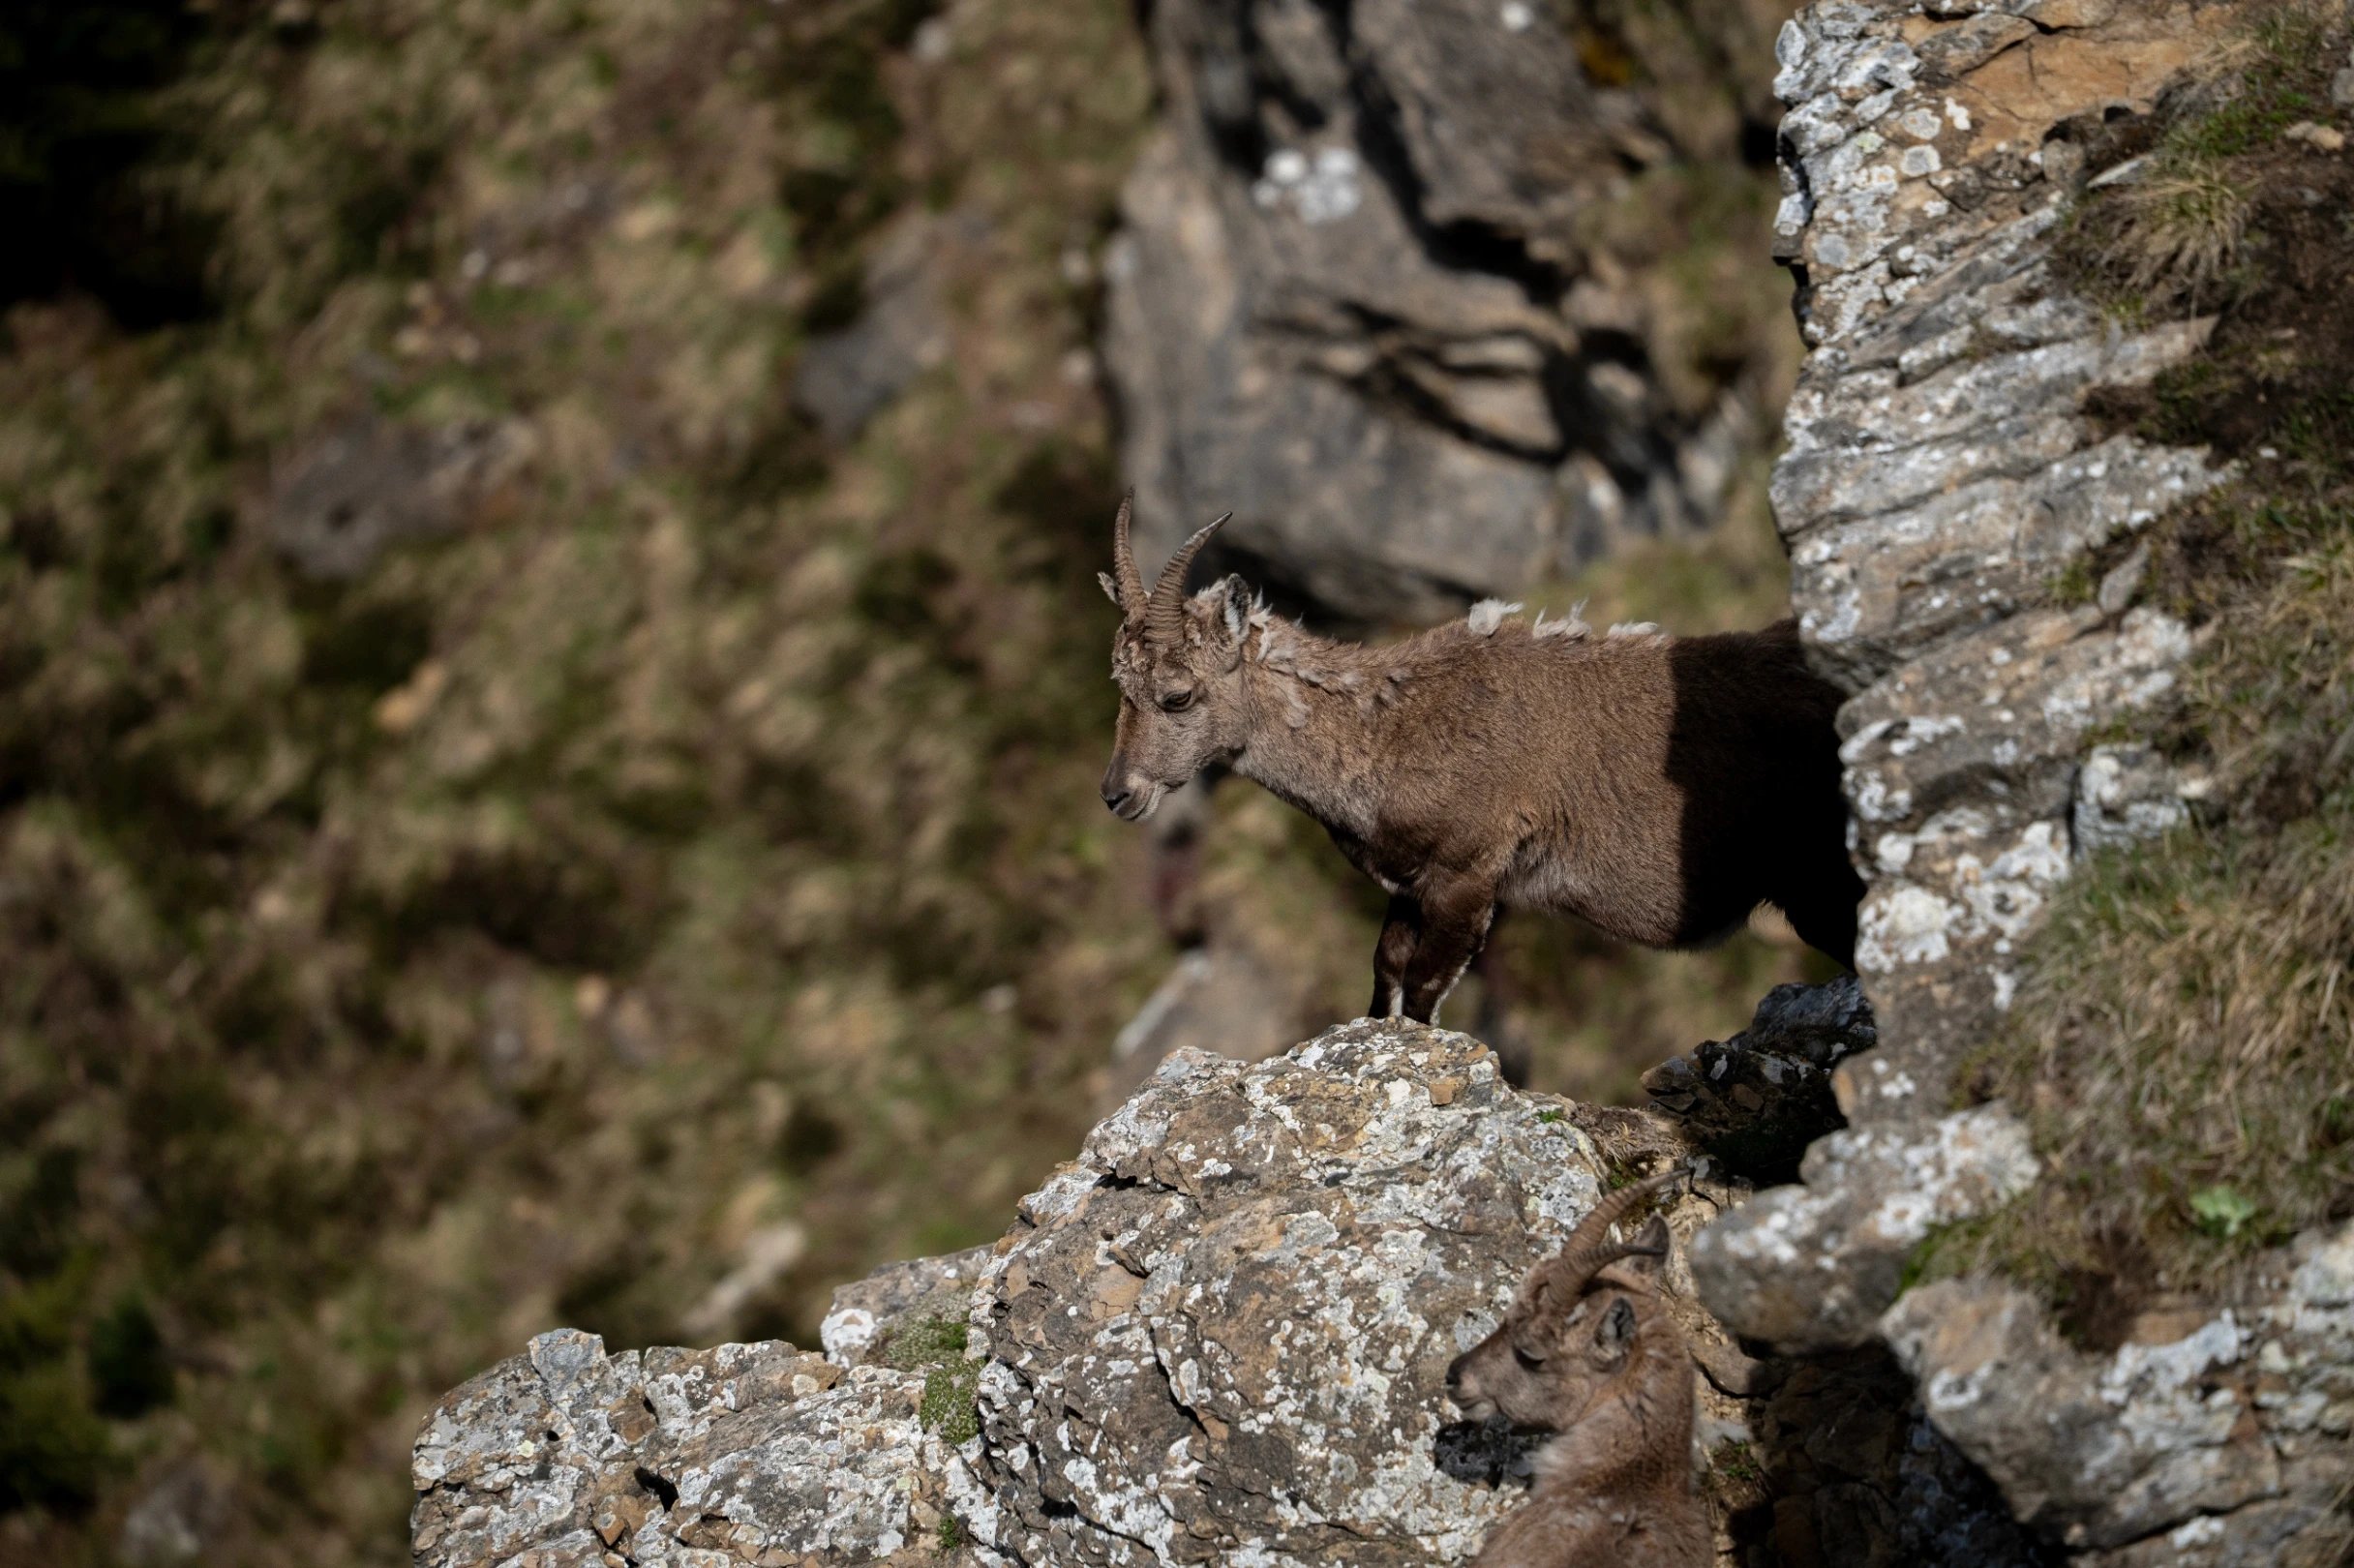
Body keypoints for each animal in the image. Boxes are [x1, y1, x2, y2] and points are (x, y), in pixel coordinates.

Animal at [1096, 497, 1863, 1023]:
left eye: (1177, 694)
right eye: (1119, 687)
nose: (1116, 794)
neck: (1387, 729)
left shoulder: (1470, 875)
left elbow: (1424, 993)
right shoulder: (1409, 889)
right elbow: (1386, 977)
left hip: (1819, 876)